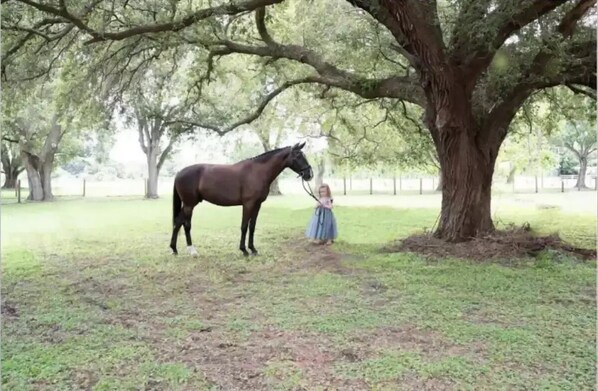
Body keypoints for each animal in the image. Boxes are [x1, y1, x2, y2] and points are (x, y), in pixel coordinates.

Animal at [170, 142, 314, 256]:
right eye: (298, 156)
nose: (309, 174)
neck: (257, 172)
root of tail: (179, 173)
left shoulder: (257, 205)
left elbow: (252, 226)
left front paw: (253, 249)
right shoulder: (248, 204)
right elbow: (244, 226)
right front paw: (244, 250)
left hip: (188, 205)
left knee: (178, 222)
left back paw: (174, 249)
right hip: (189, 204)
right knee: (186, 224)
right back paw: (192, 251)